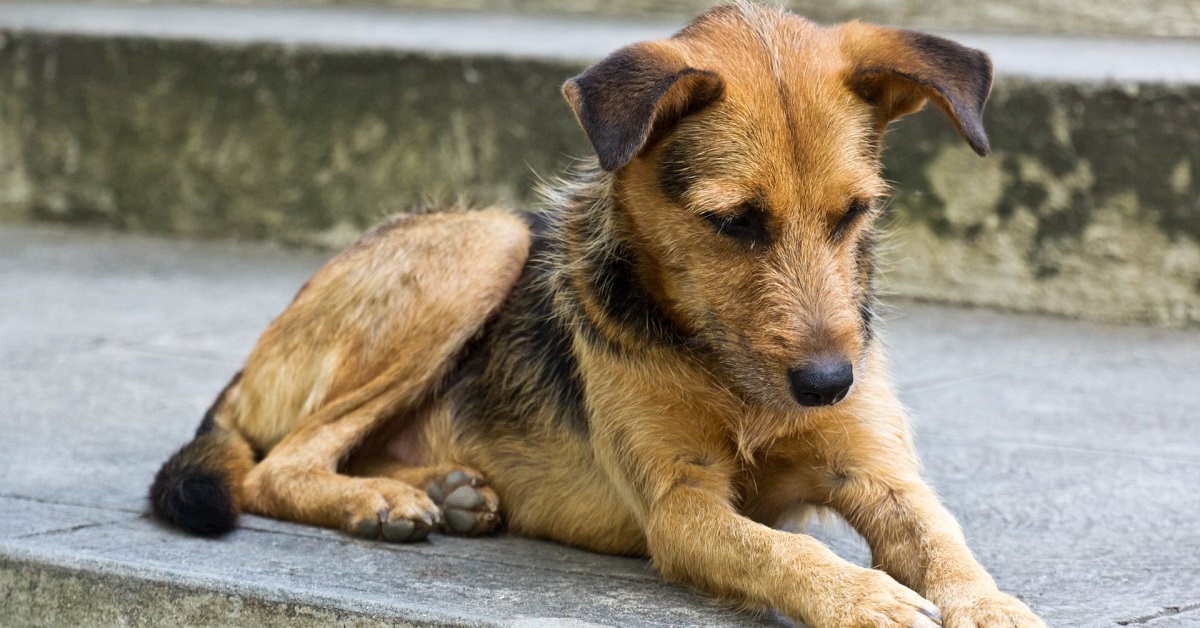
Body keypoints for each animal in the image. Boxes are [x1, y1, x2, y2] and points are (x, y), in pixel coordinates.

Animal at [150, 3, 1046, 624]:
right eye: (735, 222)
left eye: (855, 214)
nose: (829, 383)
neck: (723, 365)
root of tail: (246, 373)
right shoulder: (680, 506)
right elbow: (781, 548)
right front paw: (865, 597)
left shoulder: (880, 470)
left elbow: (945, 543)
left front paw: (993, 607)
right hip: (489, 237)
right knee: (277, 466)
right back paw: (382, 502)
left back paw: (446, 490)